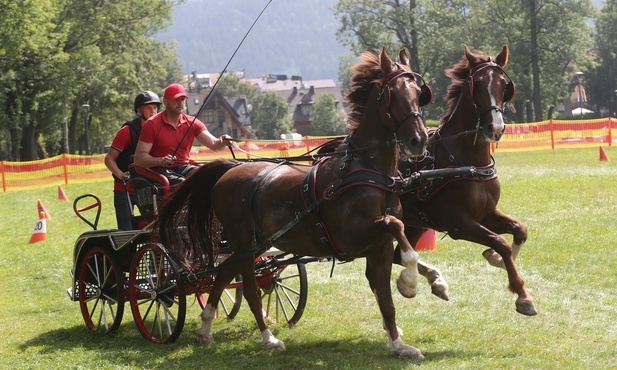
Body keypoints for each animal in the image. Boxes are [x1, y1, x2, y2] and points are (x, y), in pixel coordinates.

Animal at [156, 48, 430, 358]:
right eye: (392, 94)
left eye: (419, 93)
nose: (419, 140)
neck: (368, 169)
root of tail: (230, 169)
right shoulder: (351, 236)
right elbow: (396, 228)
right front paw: (410, 283)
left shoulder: (378, 247)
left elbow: (386, 299)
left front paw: (398, 344)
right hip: (244, 242)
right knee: (248, 289)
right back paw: (268, 338)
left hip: (249, 245)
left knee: (224, 274)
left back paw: (205, 329)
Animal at [394, 45, 536, 316]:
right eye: (477, 84)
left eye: (504, 85)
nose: (495, 128)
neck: (468, 162)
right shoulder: (460, 224)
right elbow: (501, 241)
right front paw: (523, 295)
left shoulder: (485, 214)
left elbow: (519, 230)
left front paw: (495, 258)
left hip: (415, 222)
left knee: (399, 255)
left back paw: (434, 282)